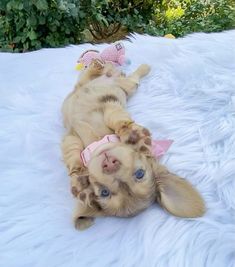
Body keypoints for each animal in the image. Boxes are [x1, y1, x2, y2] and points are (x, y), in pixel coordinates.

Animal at [61, 60, 205, 230]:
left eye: (139, 174)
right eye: (104, 192)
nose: (110, 164)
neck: (97, 141)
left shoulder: (112, 108)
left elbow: (116, 118)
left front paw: (133, 134)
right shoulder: (71, 137)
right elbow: (72, 154)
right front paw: (77, 177)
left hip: (128, 86)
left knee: (133, 78)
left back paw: (141, 67)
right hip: (86, 83)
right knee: (88, 77)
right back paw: (99, 65)